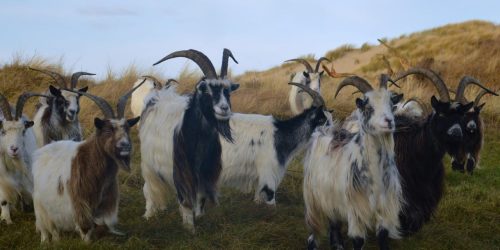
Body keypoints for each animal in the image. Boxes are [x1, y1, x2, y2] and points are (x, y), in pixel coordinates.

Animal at [31, 81, 143, 241]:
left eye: (127, 129)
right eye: (107, 130)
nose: (125, 146)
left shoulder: (106, 204)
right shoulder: (80, 203)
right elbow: (85, 228)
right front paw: (87, 242)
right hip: (40, 206)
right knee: (46, 229)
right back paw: (46, 241)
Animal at [302, 74, 404, 250]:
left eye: (392, 104)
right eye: (368, 107)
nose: (389, 121)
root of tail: (324, 130)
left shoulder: (384, 210)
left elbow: (383, 238)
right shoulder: (356, 212)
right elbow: (358, 241)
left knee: (334, 225)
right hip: (313, 201)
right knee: (313, 236)